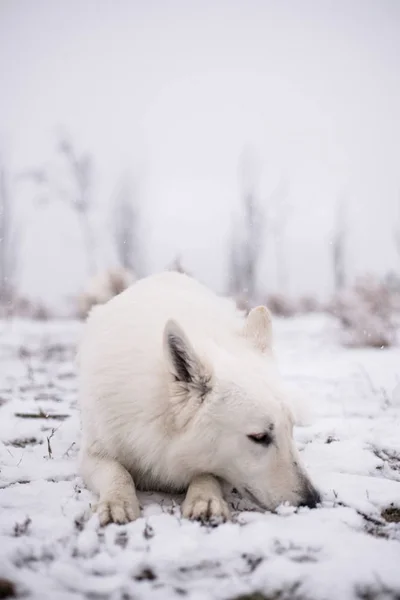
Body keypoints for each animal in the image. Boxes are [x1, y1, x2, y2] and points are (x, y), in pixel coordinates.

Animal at [77, 272, 318, 524]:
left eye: (290, 430)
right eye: (259, 437)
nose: (313, 500)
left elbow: (207, 474)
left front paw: (205, 498)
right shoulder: (93, 454)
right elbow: (117, 472)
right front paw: (117, 502)